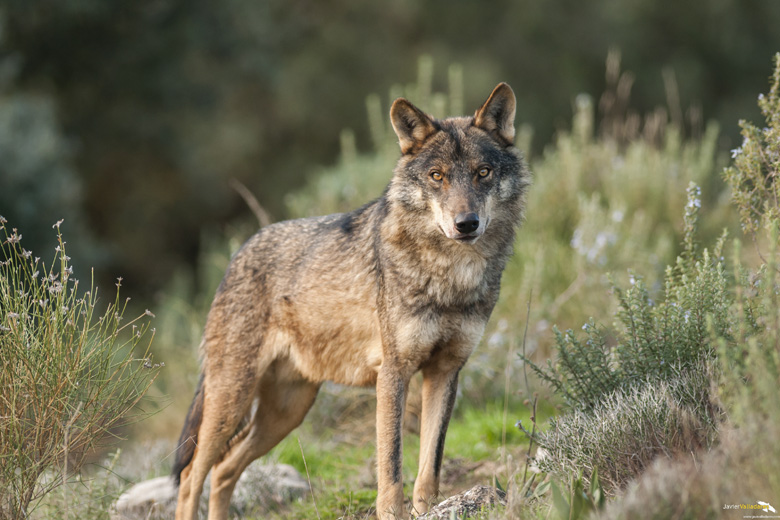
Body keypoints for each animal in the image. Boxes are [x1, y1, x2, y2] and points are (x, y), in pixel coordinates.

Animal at [174, 83, 532, 516]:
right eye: (437, 176)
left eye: (483, 172)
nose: (466, 224)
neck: (451, 277)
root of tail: (235, 257)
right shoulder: (393, 373)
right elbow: (391, 464)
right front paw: (393, 513)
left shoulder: (445, 372)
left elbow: (430, 465)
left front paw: (429, 509)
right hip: (232, 402)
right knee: (192, 477)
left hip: (287, 412)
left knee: (224, 470)